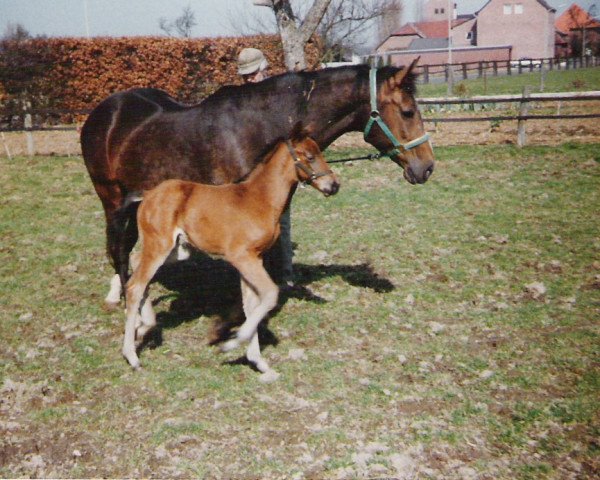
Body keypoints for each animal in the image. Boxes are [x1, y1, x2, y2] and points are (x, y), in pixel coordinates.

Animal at [122, 133, 340, 376]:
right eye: (310, 156)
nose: (334, 185)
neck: (261, 199)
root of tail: (148, 195)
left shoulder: (255, 258)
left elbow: (251, 304)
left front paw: (259, 362)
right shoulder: (241, 257)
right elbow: (269, 294)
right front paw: (231, 342)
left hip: (178, 249)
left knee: (136, 264)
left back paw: (144, 327)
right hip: (159, 245)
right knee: (135, 285)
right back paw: (132, 355)